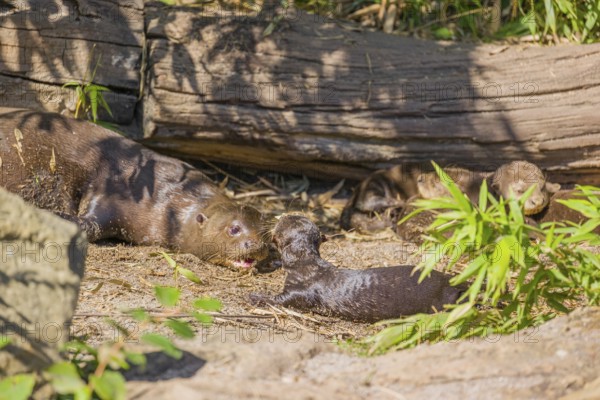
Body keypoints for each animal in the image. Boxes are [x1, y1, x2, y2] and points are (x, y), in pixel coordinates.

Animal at [0, 108, 268, 268]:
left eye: (264, 231)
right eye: (234, 229)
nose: (256, 245)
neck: (165, 197)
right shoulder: (114, 186)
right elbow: (91, 223)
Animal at [248, 214, 464, 324]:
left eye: (287, 218)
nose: (281, 214)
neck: (304, 265)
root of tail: (453, 282)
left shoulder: (301, 290)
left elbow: (282, 299)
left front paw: (255, 296)